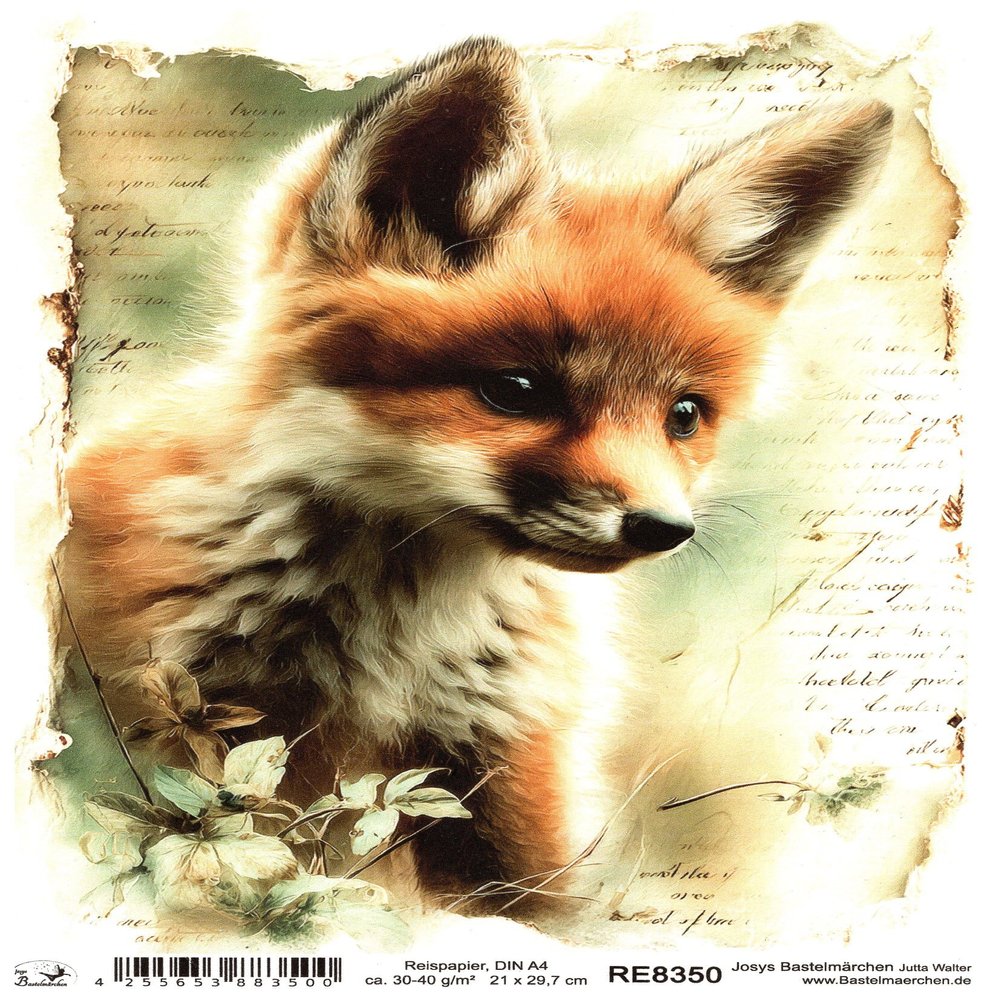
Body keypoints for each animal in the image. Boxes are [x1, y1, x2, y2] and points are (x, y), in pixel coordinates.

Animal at [63, 38, 892, 908]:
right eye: (516, 391)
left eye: (685, 415)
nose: (665, 529)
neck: (397, 647)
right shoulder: (203, 726)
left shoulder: (512, 770)